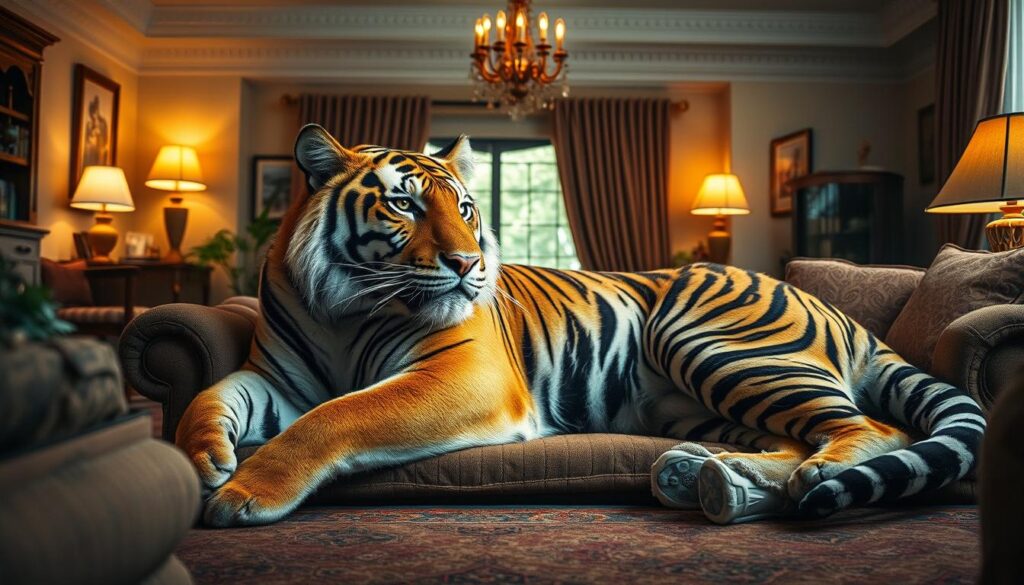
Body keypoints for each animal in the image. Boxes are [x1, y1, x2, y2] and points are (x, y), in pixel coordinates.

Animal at [178, 123, 985, 527]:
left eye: (464, 208)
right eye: (404, 205)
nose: (471, 264)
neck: (346, 307)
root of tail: (837, 306)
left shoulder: (464, 375)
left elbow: (335, 417)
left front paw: (244, 493)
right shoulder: (277, 377)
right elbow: (208, 397)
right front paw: (206, 460)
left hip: (706, 341)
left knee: (873, 428)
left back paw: (804, 475)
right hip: (688, 399)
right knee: (791, 438)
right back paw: (705, 477)